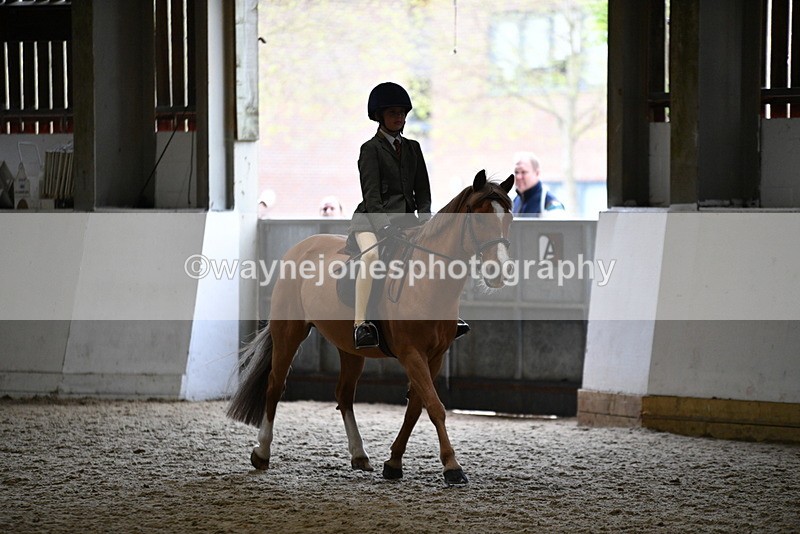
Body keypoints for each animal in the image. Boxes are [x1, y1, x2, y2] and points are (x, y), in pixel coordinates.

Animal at [227, 170, 515, 485]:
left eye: (509, 217)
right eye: (478, 218)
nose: (500, 272)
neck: (427, 281)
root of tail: (300, 247)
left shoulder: (435, 357)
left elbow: (416, 408)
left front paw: (393, 462)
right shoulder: (411, 353)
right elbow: (435, 407)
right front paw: (452, 466)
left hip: (350, 348)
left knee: (344, 395)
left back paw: (359, 455)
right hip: (289, 333)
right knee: (275, 386)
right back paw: (262, 452)